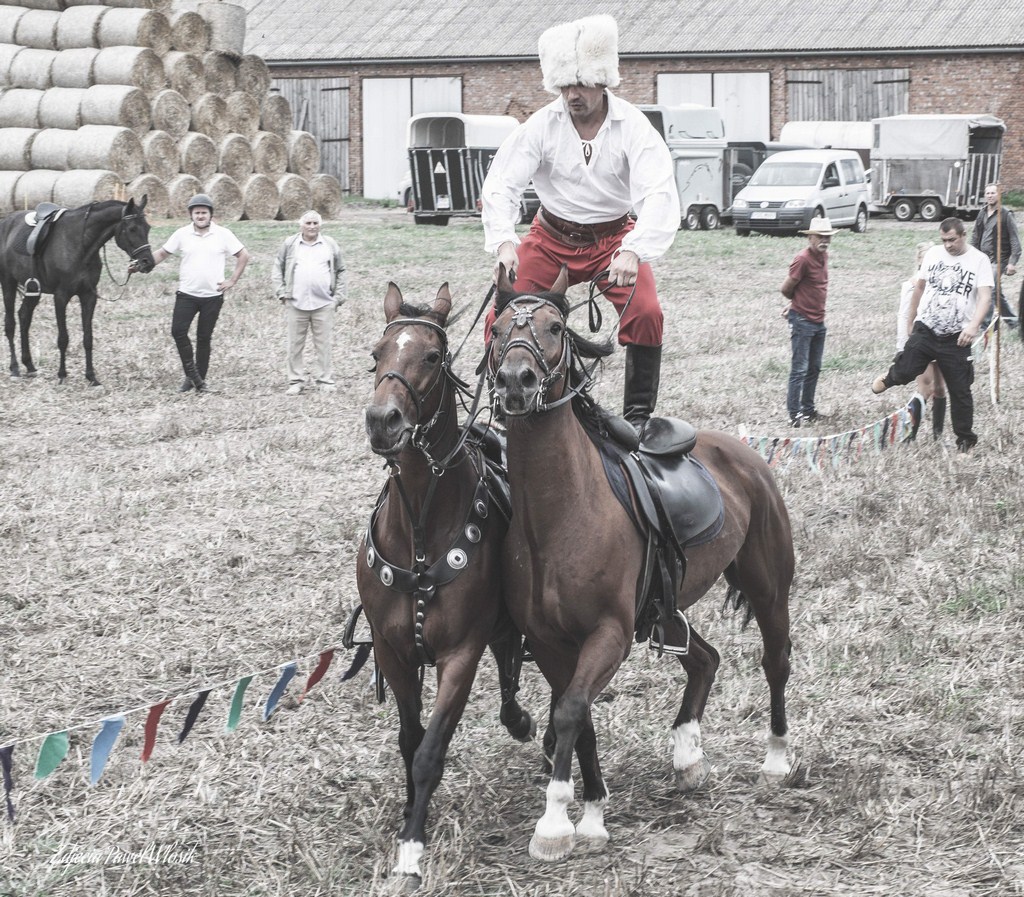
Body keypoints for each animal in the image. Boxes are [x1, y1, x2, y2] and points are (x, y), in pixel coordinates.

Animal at [358, 284, 536, 884]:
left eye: (433, 357)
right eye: (376, 354)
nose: (382, 420)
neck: (419, 527)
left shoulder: (460, 653)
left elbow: (431, 750)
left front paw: (413, 845)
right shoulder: (393, 652)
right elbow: (409, 741)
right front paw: (410, 815)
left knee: (511, 663)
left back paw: (522, 721)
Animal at [483, 266, 794, 860]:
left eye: (555, 327)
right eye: (495, 328)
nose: (516, 381)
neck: (559, 513)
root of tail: (746, 455)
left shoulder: (610, 633)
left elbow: (571, 710)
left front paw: (556, 822)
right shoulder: (552, 643)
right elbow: (577, 715)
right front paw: (591, 812)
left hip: (768, 588)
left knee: (776, 662)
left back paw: (776, 758)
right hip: (666, 613)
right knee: (705, 660)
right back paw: (688, 755)